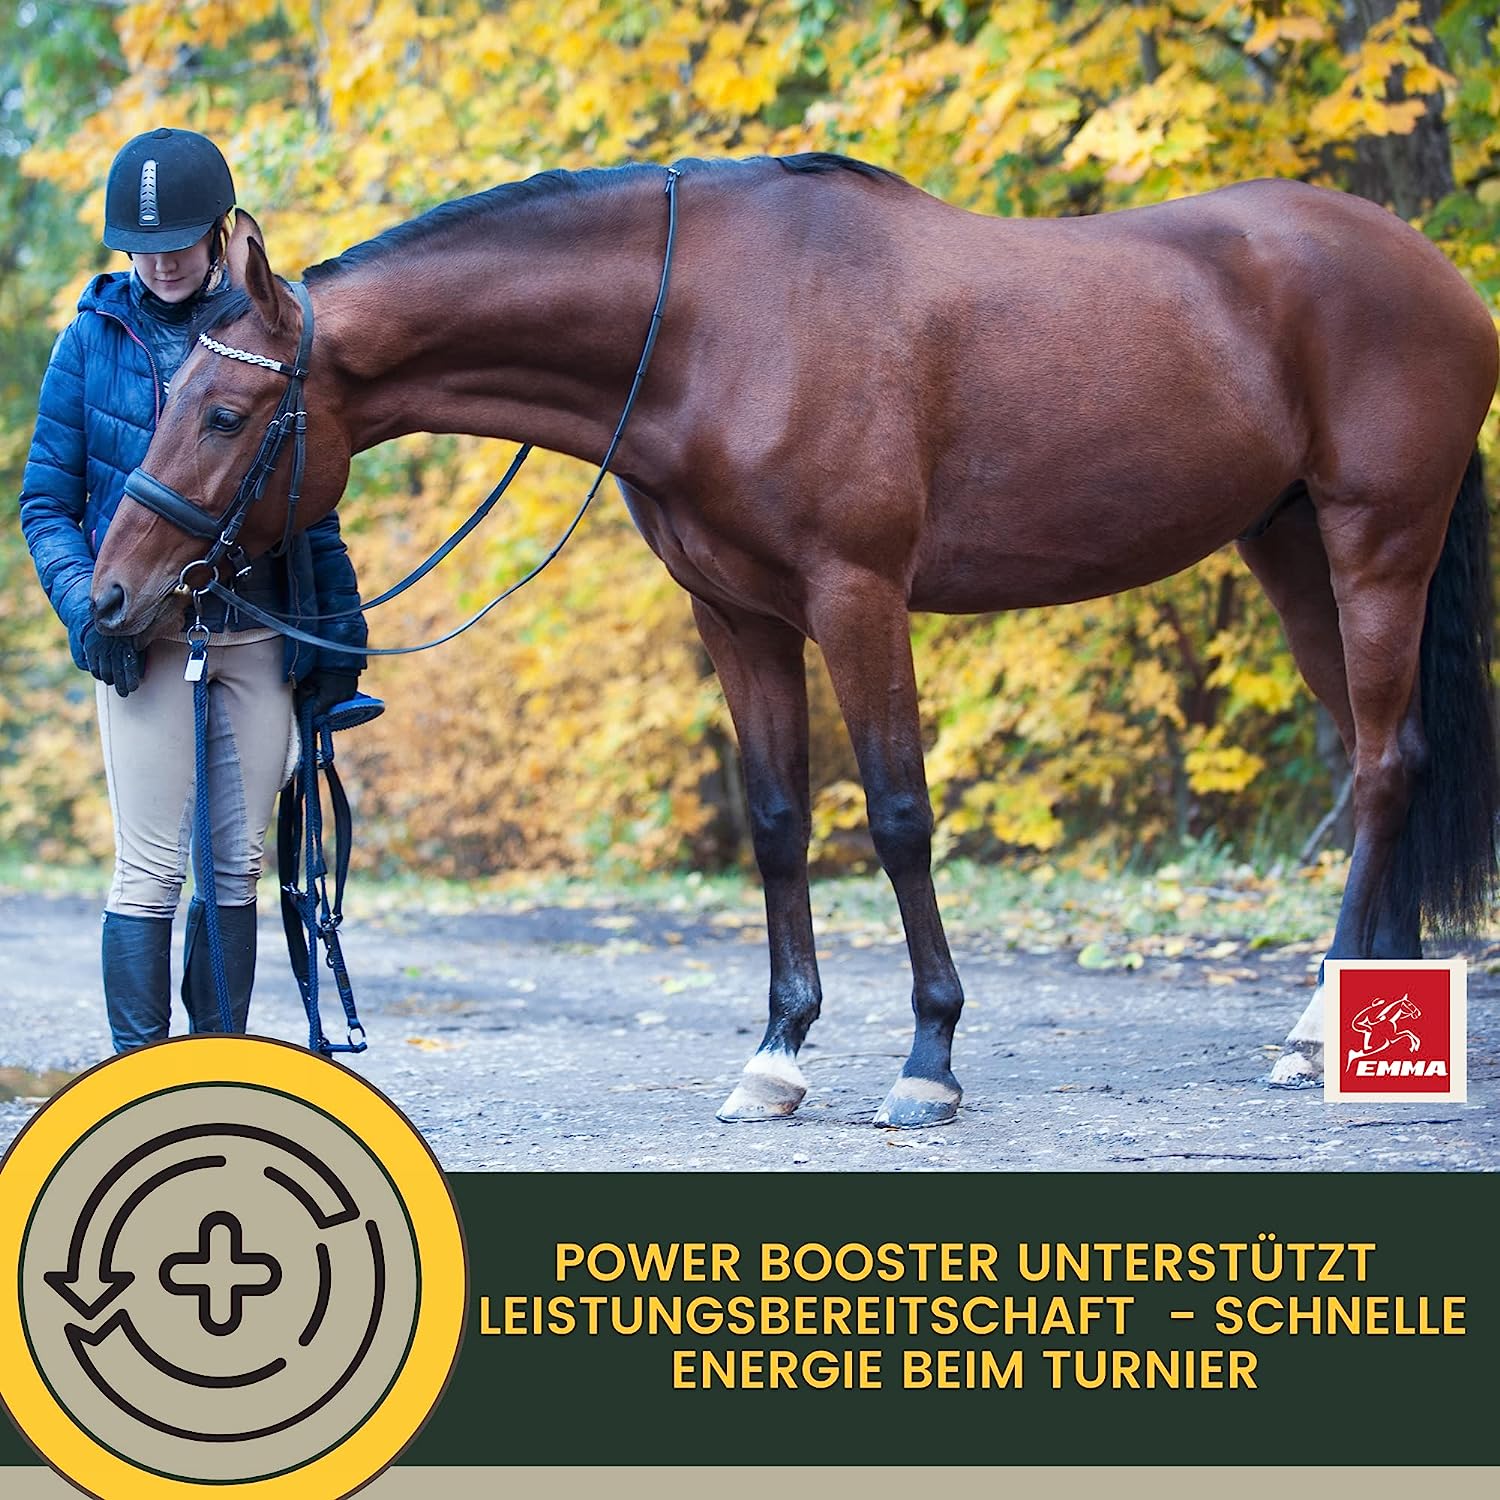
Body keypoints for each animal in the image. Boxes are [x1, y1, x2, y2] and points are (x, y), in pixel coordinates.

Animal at [89, 153, 1499, 1128]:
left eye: (222, 413)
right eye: (163, 396)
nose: (112, 597)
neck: (707, 325)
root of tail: (1436, 273)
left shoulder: (856, 596)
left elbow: (896, 814)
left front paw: (929, 1061)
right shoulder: (741, 616)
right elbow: (777, 821)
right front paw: (776, 1058)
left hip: (1378, 544)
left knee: (1381, 768)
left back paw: (1315, 1030)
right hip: (1293, 554)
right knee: (1390, 759)